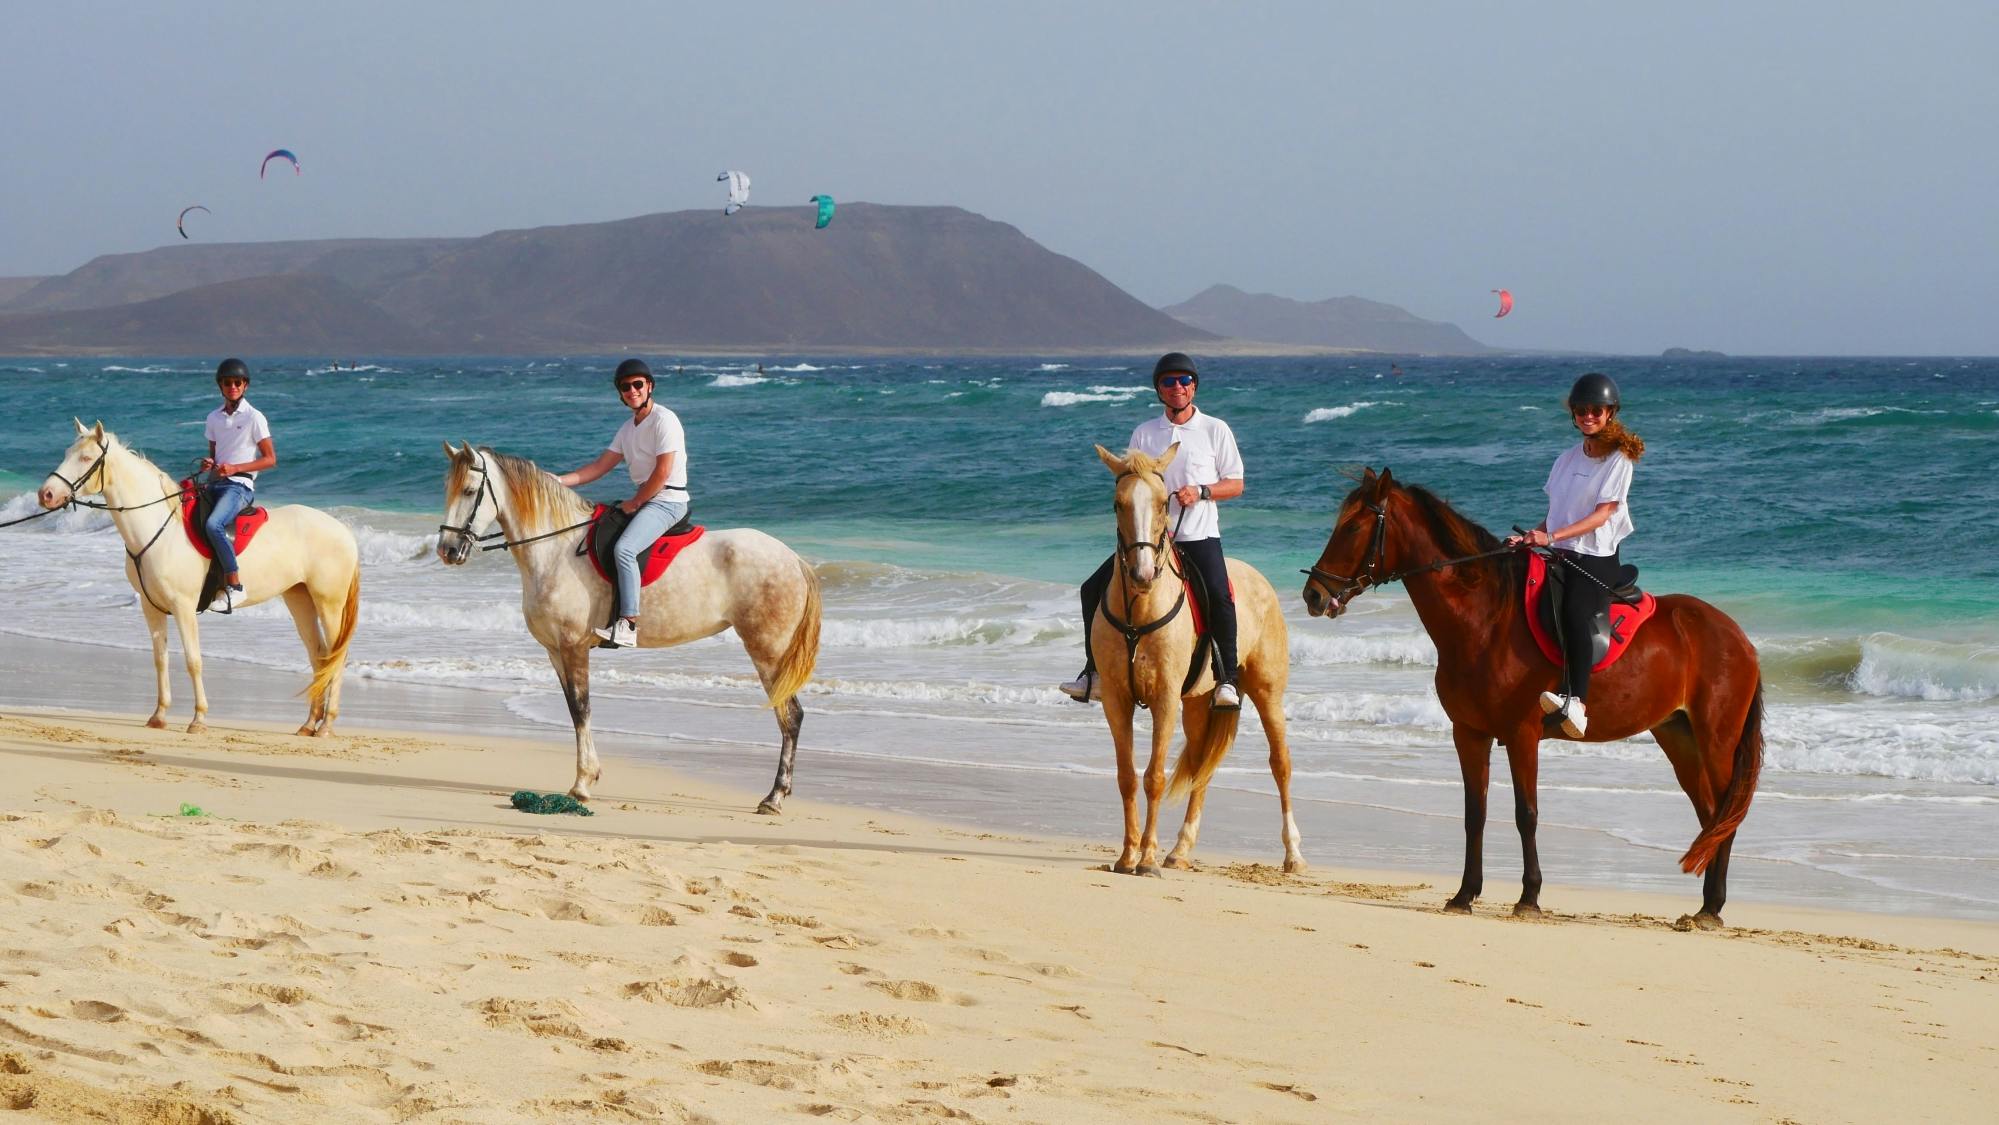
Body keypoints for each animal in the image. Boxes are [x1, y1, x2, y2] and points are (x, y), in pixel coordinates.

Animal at [41, 423, 363, 739]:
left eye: (85, 458)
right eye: (67, 453)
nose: (46, 494)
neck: (159, 530)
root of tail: (343, 531)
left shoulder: (183, 606)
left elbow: (193, 661)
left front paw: (198, 719)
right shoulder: (151, 607)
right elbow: (160, 659)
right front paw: (158, 716)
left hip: (329, 603)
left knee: (337, 655)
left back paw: (327, 725)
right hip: (299, 599)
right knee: (319, 656)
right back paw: (309, 723)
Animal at [437, 441, 819, 811]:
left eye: (469, 491)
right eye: (448, 489)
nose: (447, 550)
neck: (555, 550)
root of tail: (793, 559)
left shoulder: (573, 646)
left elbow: (582, 708)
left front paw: (583, 783)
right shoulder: (555, 651)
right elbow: (573, 710)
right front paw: (586, 778)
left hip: (768, 651)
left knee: (791, 716)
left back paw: (774, 797)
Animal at [1087, 449, 1303, 879]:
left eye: (1162, 502)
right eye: (1118, 504)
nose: (1142, 574)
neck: (1140, 611)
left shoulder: (1165, 699)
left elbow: (1154, 777)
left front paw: (1147, 860)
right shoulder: (1117, 700)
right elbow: (1126, 777)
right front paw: (1127, 857)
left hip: (1266, 693)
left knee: (1280, 763)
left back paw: (1293, 855)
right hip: (1198, 704)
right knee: (1203, 766)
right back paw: (1180, 850)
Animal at [1303, 469, 1759, 935]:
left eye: (1353, 527)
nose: (1313, 595)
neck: (1485, 620)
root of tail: (1738, 637)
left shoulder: (1522, 734)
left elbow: (1527, 814)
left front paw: (1529, 898)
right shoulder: (1469, 733)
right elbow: (1474, 813)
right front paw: (1464, 895)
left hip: (1715, 741)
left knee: (1725, 815)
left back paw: (1712, 909)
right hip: (1679, 737)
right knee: (1712, 815)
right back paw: (1706, 906)